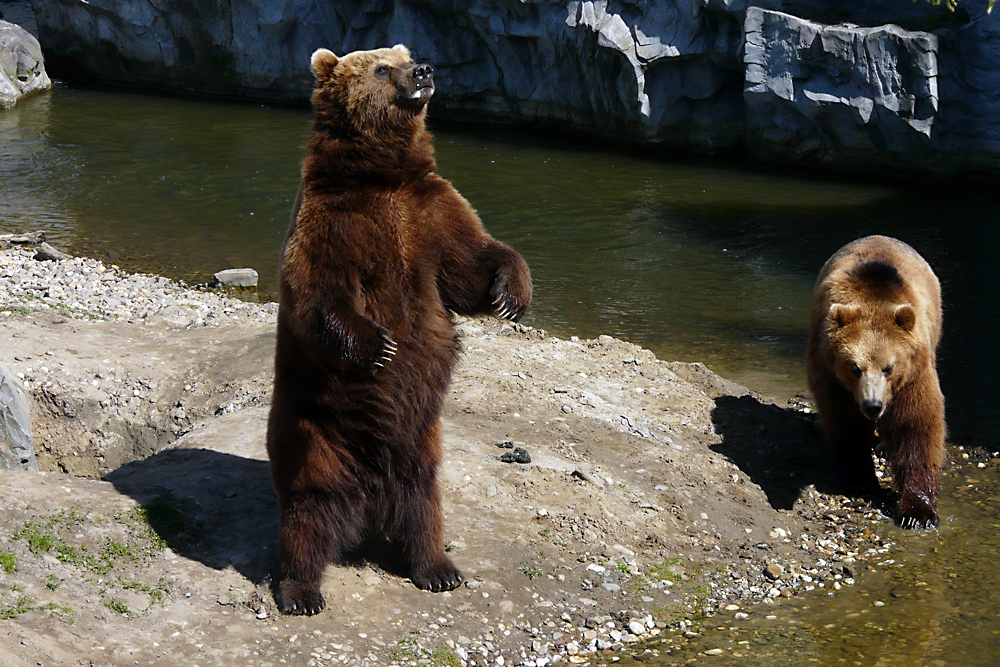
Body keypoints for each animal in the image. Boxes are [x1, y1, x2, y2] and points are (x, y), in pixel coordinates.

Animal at [266, 43, 532, 616]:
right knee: (309, 509)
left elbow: (470, 265)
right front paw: (380, 345)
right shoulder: (331, 220)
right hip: (316, 431)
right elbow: (317, 293)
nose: (425, 71)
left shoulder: (430, 210)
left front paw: (510, 294)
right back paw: (300, 590)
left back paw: (437, 567)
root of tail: (369, 498)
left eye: (405, 53)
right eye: (382, 67)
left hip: (420, 441)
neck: (380, 176)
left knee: (423, 503)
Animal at [804, 237, 944, 528]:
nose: (873, 405)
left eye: (888, 367)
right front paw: (861, 479)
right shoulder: (833, 375)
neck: (873, 298)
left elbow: (916, 426)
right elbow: (845, 422)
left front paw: (918, 512)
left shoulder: (914, 373)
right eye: (855, 368)